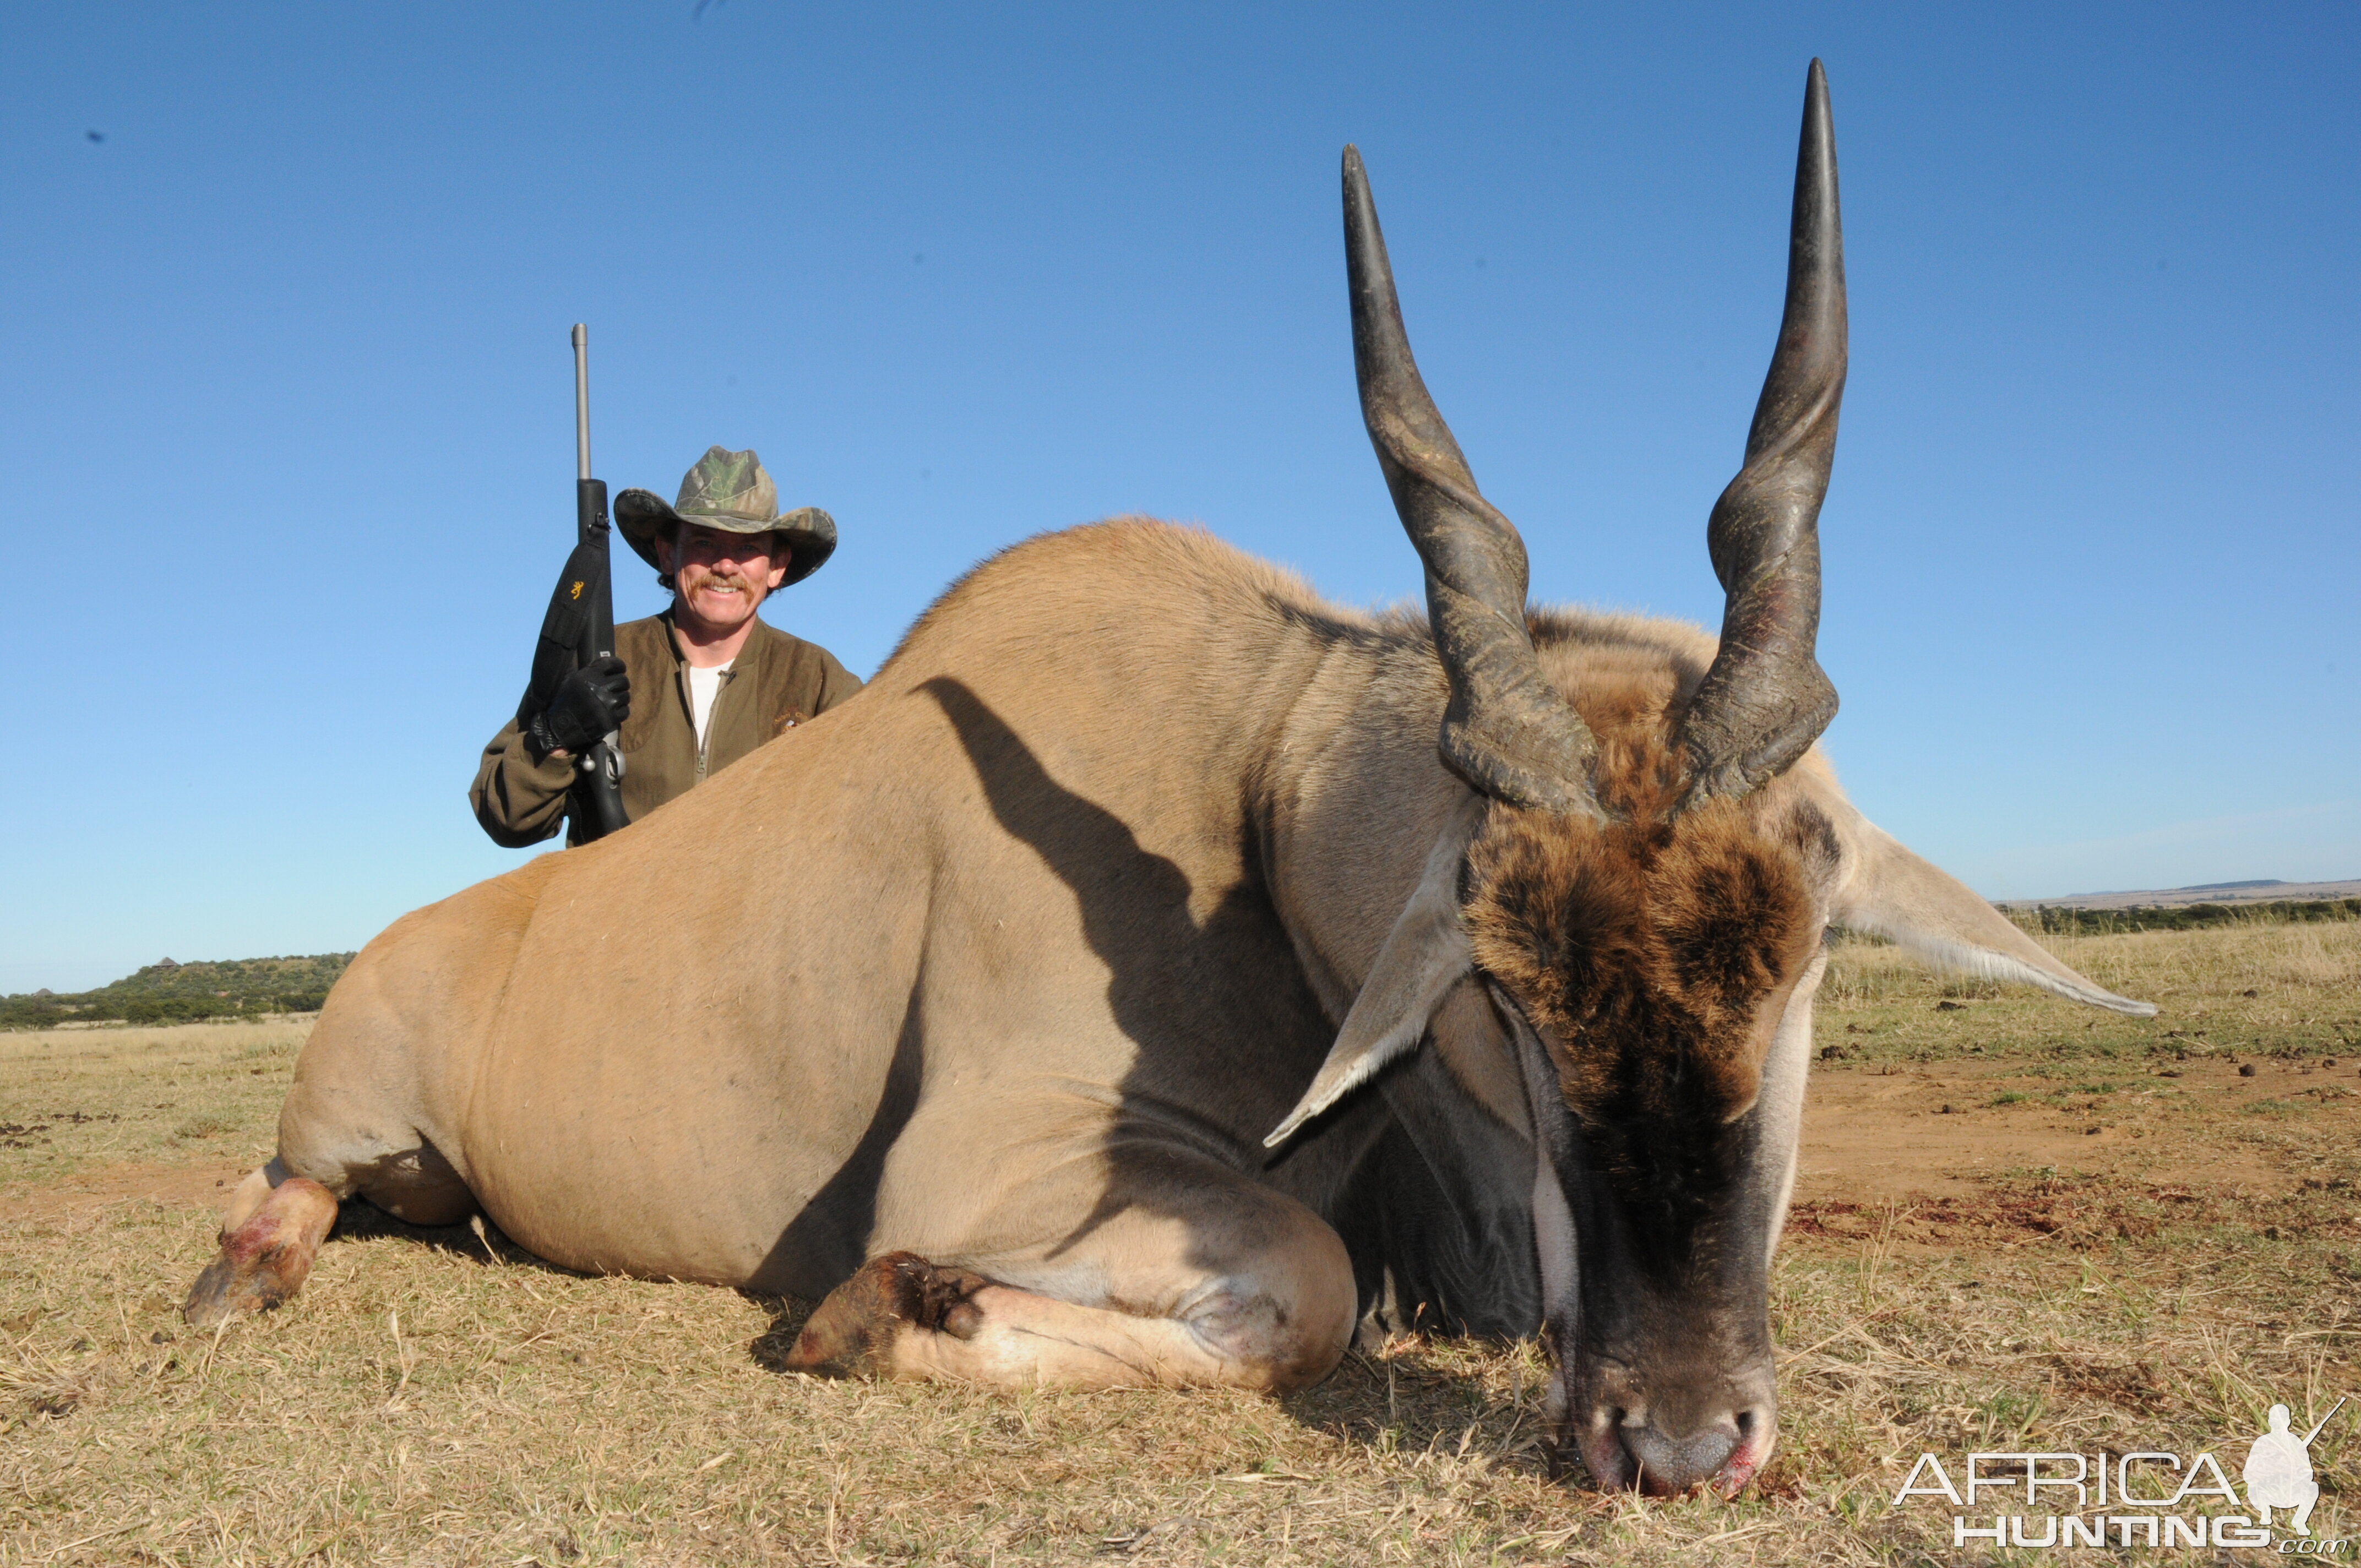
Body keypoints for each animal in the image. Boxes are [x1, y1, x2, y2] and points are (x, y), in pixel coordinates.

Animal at [179, 67, 2144, 1501]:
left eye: (1803, 958)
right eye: (1503, 988)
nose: (1675, 1436)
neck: (1248, 788)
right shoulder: (997, 1159)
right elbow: (1307, 1294)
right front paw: (873, 1314)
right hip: (347, 1124)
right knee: (287, 1188)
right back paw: (239, 1273)